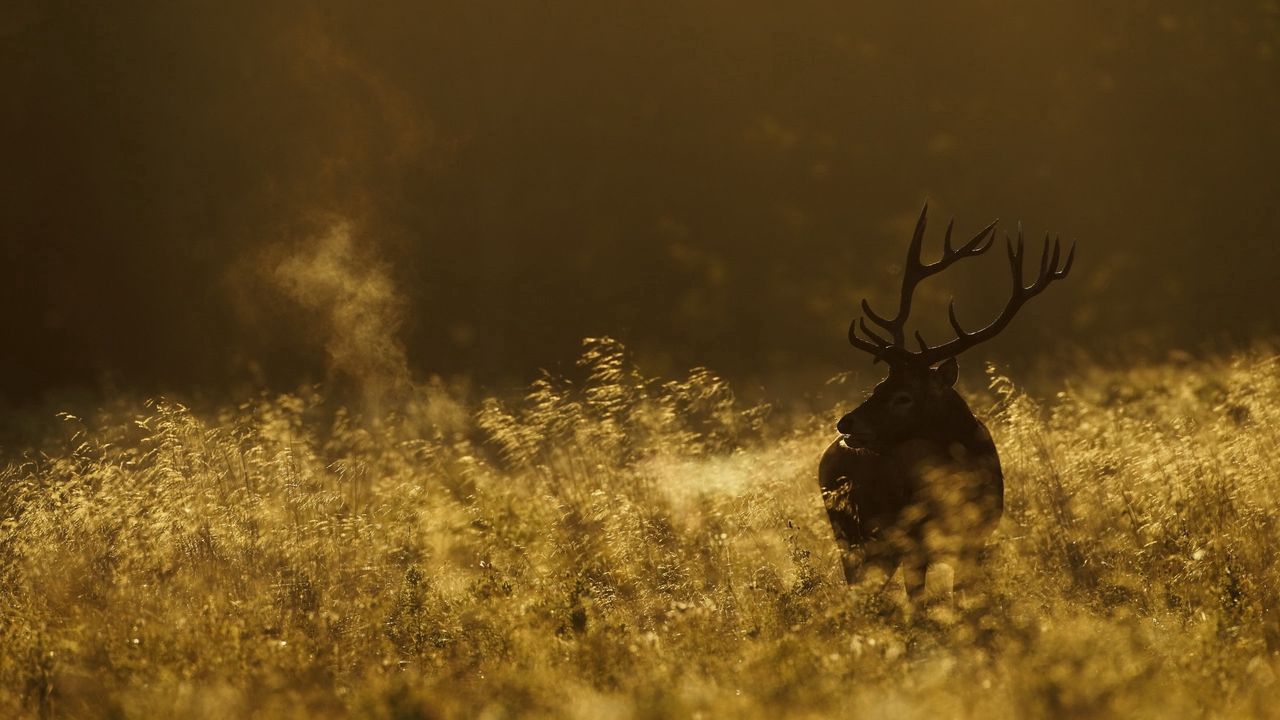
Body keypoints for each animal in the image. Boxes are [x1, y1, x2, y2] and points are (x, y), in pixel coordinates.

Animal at [814, 203, 1075, 609]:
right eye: (879, 384)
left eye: (904, 396)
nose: (846, 423)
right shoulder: (913, 542)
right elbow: (920, 605)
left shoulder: (976, 540)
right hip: (850, 534)